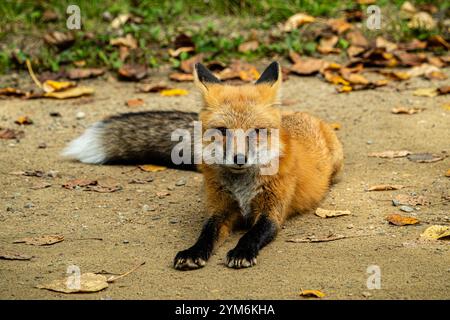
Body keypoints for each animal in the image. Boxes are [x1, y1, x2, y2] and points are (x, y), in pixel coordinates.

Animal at [62, 60, 344, 270]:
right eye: (222, 131)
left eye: (256, 131)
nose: (239, 159)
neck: (241, 187)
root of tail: (299, 115)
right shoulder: (220, 209)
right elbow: (206, 232)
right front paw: (194, 252)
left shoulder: (273, 211)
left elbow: (252, 234)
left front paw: (241, 251)